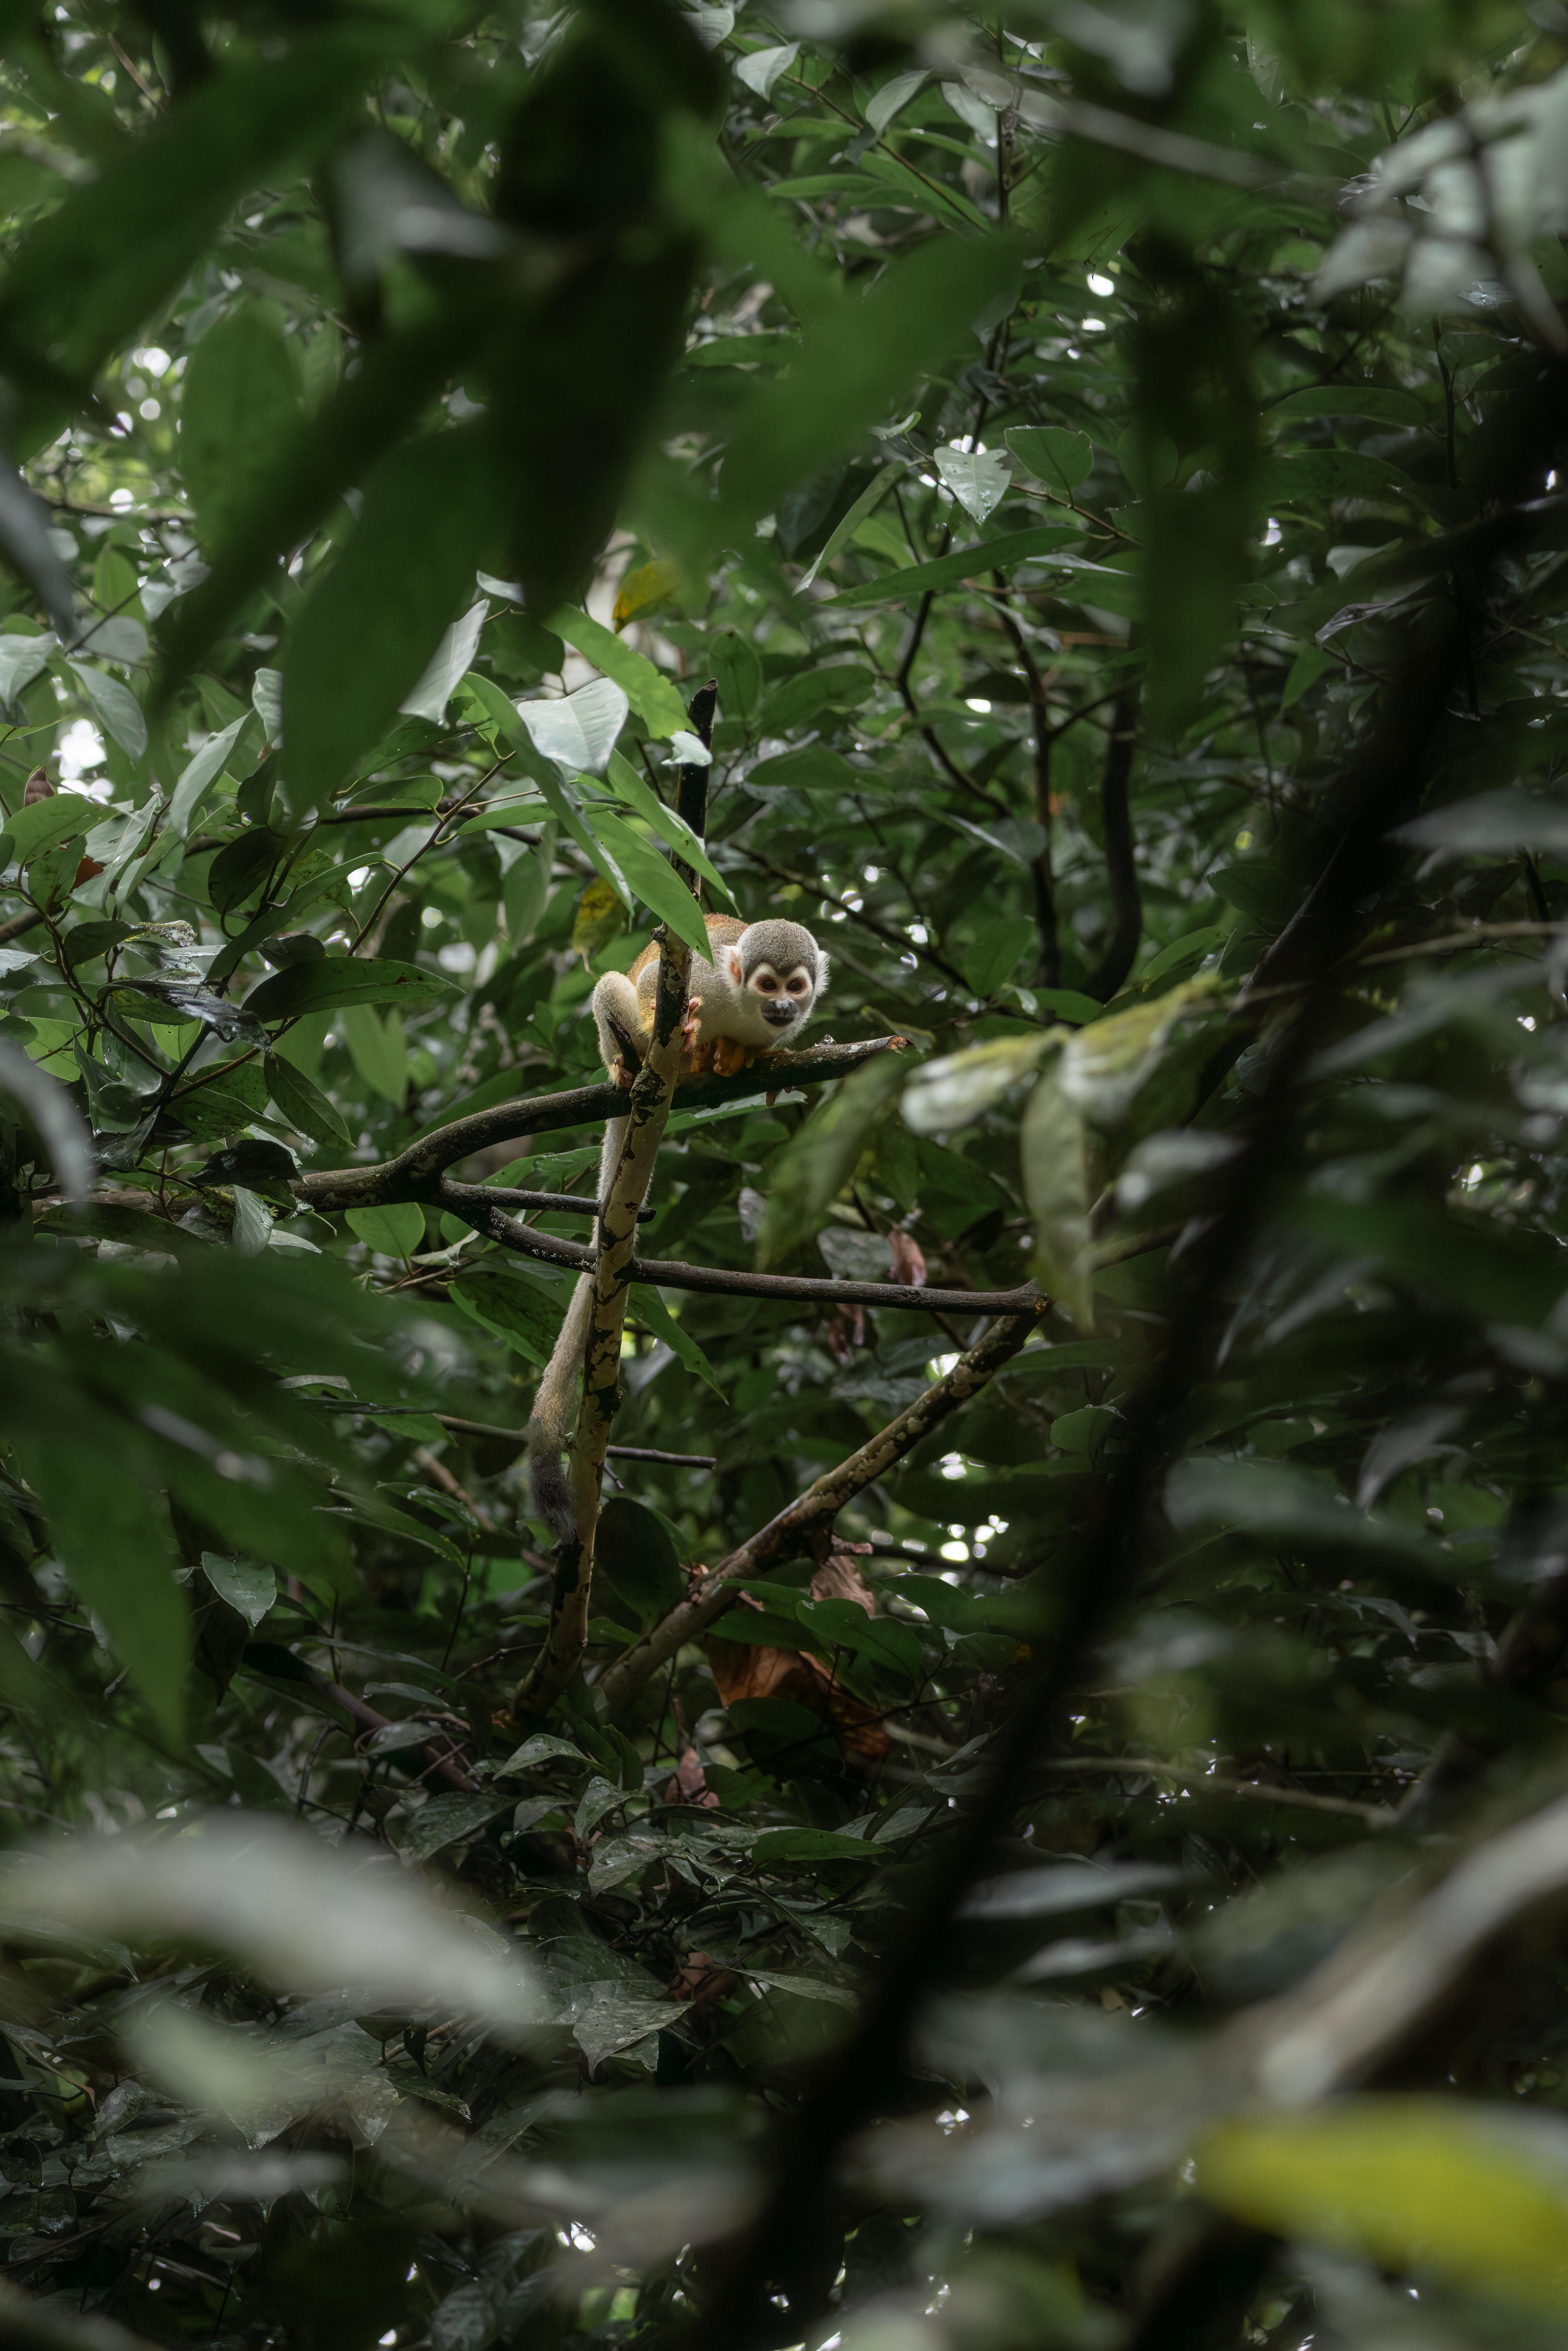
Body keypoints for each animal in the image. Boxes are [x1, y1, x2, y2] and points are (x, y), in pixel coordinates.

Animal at [525, 913, 830, 1541]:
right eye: (769, 984)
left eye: (796, 988)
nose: (783, 1007)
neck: (741, 1006)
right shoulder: (710, 978)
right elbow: (648, 984)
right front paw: (655, 1019)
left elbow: (762, 1046)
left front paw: (738, 1054)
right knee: (615, 988)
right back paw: (640, 1057)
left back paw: (714, 1056)